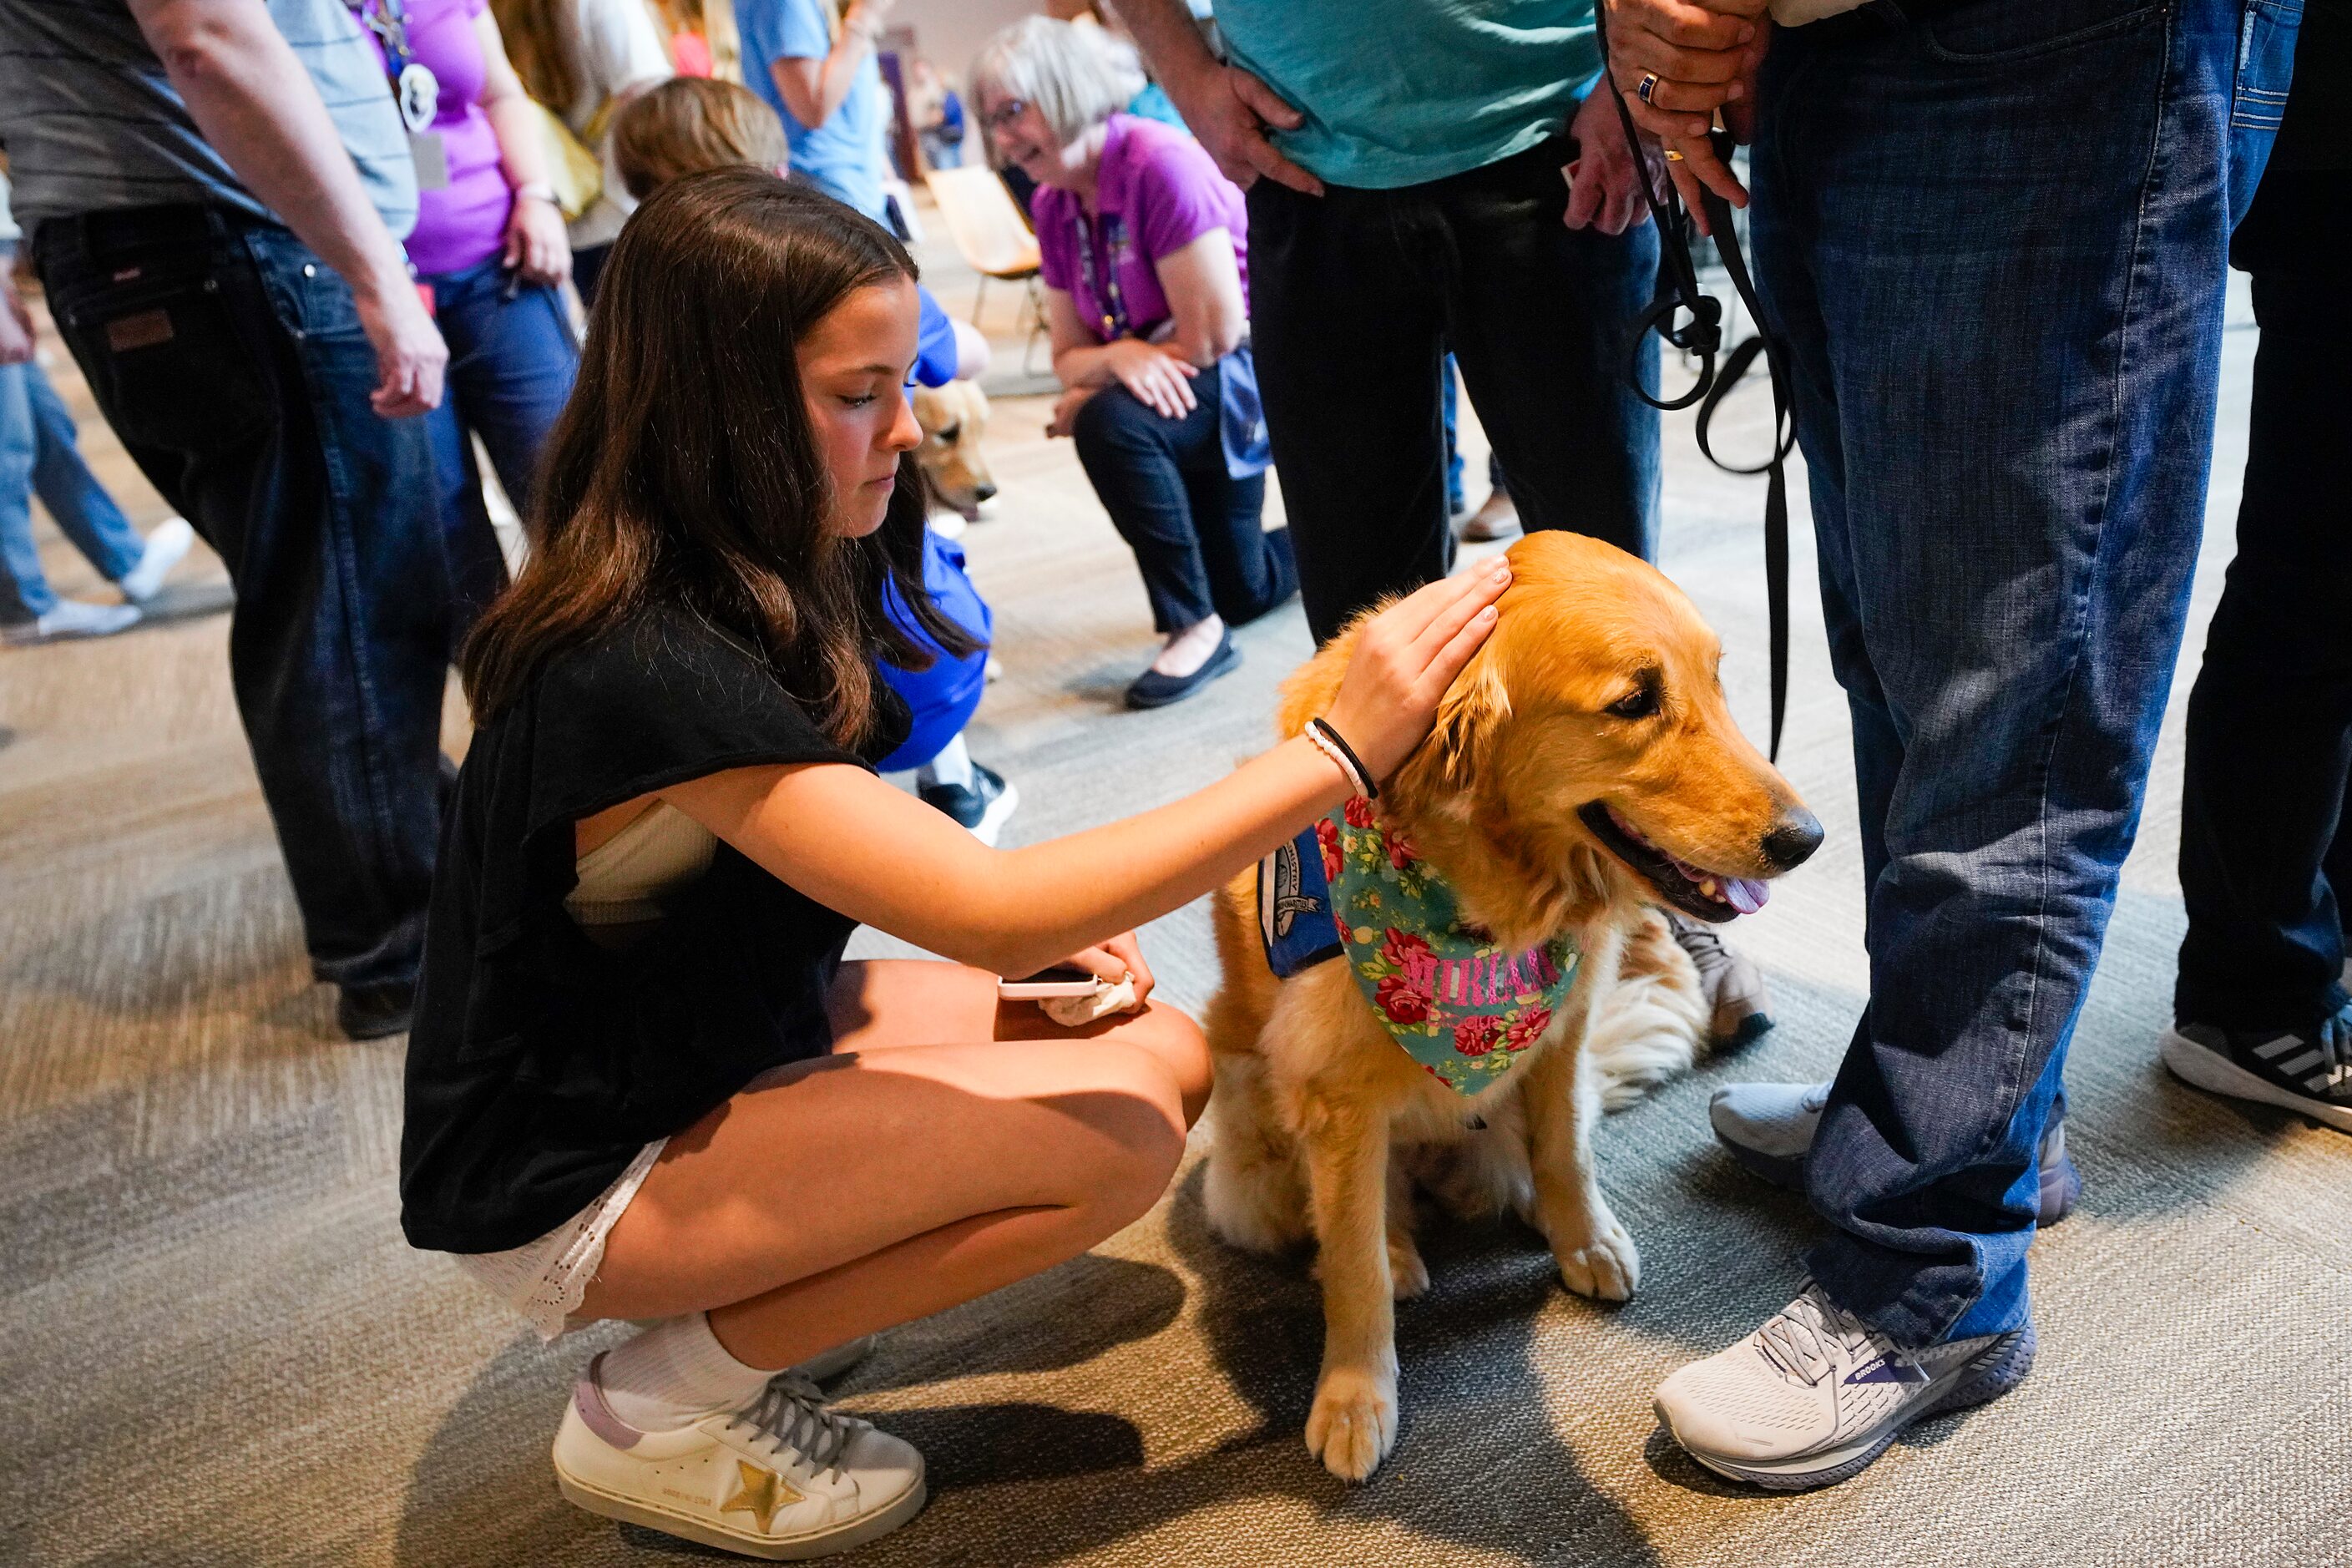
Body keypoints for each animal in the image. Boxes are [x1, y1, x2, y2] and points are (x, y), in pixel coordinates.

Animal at [1204, 534, 1824, 1476]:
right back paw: (1397, 1246)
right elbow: (1352, 1265)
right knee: (1354, 1213)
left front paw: (1584, 1238)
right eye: (1634, 701)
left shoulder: (1563, 1030)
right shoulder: (1333, 1092)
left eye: (1718, 680)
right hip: (1252, 1115)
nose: (1808, 838)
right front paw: (1354, 1396)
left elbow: (1568, 1152)